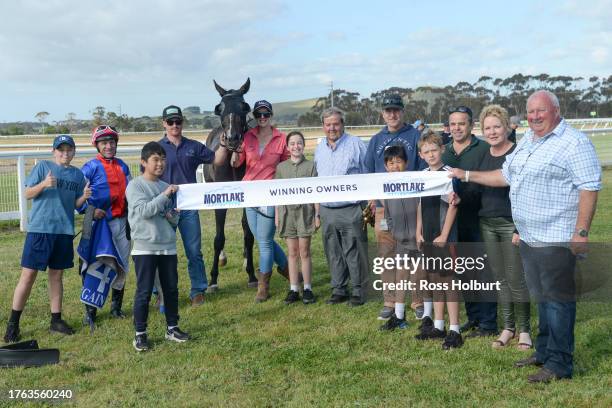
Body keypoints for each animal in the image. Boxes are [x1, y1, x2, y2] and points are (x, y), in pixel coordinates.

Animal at [203, 78, 256, 290]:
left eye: (244, 106)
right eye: (220, 108)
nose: (233, 138)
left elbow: (248, 234)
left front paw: (252, 275)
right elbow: (219, 238)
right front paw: (213, 280)